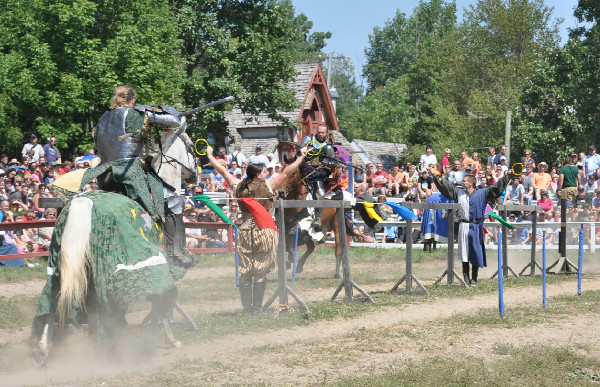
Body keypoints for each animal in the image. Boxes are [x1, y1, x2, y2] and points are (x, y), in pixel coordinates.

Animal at [32, 127, 197, 366]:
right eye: (191, 147)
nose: (195, 175)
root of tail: (84, 202)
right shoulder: (161, 270)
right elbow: (161, 303)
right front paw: (163, 340)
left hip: (61, 268)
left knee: (51, 304)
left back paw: (44, 350)